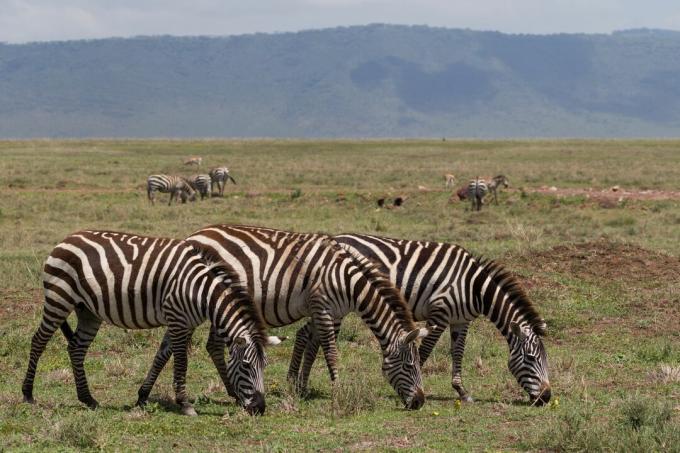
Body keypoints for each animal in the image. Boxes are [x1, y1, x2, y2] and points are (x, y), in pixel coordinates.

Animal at [21, 231, 282, 414]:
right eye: (246, 366)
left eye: (265, 366)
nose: (259, 409)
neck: (201, 292)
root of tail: (66, 239)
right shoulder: (178, 319)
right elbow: (181, 361)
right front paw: (185, 404)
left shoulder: (182, 321)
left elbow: (161, 355)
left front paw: (142, 396)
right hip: (59, 299)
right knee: (39, 341)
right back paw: (28, 394)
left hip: (88, 311)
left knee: (76, 348)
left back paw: (88, 399)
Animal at [140, 225, 428, 410]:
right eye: (410, 366)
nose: (419, 402)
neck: (347, 280)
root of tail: (194, 235)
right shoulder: (323, 307)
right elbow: (330, 351)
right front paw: (337, 389)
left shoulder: (329, 312)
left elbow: (312, 344)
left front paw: (300, 386)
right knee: (203, 345)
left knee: (205, 345)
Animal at [292, 235, 552, 404]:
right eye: (531, 358)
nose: (546, 397)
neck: (474, 287)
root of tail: (336, 237)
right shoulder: (440, 312)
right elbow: (425, 350)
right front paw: (415, 385)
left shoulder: (461, 320)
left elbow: (458, 353)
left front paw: (462, 391)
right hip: (336, 305)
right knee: (316, 336)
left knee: (306, 333)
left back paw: (300, 386)